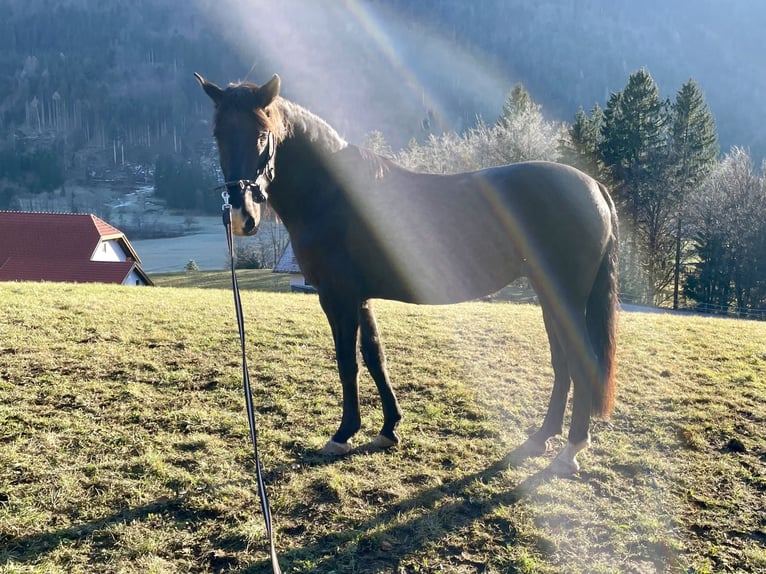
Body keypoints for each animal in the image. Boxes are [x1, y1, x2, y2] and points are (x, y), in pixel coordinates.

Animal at [195, 72, 620, 474]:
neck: (332, 195)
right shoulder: (360, 296)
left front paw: (343, 433)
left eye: (261, 134)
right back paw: (542, 437)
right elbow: (374, 356)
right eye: (217, 134)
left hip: (565, 296)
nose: (241, 216)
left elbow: (347, 362)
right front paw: (388, 428)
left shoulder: (337, 296)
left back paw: (570, 450)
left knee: (579, 362)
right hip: (549, 296)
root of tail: (593, 187)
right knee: (562, 364)